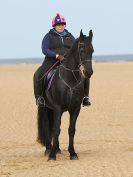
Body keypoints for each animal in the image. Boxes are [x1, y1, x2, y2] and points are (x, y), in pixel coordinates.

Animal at [37, 29, 94, 160]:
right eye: (81, 49)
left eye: (92, 50)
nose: (88, 72)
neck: (70, 79)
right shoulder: (58, 107)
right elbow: (56, 130)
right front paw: (52, 156)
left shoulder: (75, 108)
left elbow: (71, 130)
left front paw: (72, 153)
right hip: (46, 107)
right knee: (48, 127)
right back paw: (49, 149)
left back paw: (57, 149)